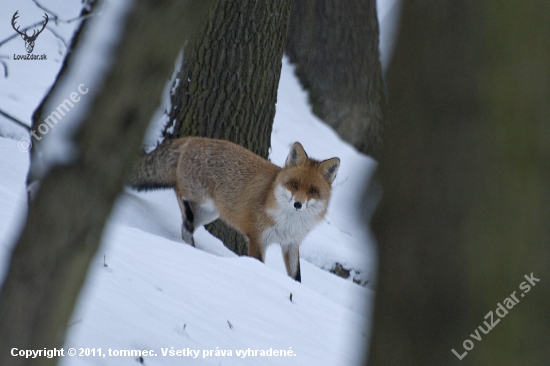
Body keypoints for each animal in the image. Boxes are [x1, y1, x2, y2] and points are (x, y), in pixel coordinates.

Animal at [128, 137, 340, 284]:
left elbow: (296, 276)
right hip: (200, 197)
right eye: (294, 184)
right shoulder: (257, 239)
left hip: (209, 213)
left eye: (312, 191)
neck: (289, 222)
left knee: (185, 228)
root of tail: (193, 138)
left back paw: (190, 243)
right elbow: (258, 262)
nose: (298, 204)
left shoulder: (291, 244)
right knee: (179, 192)